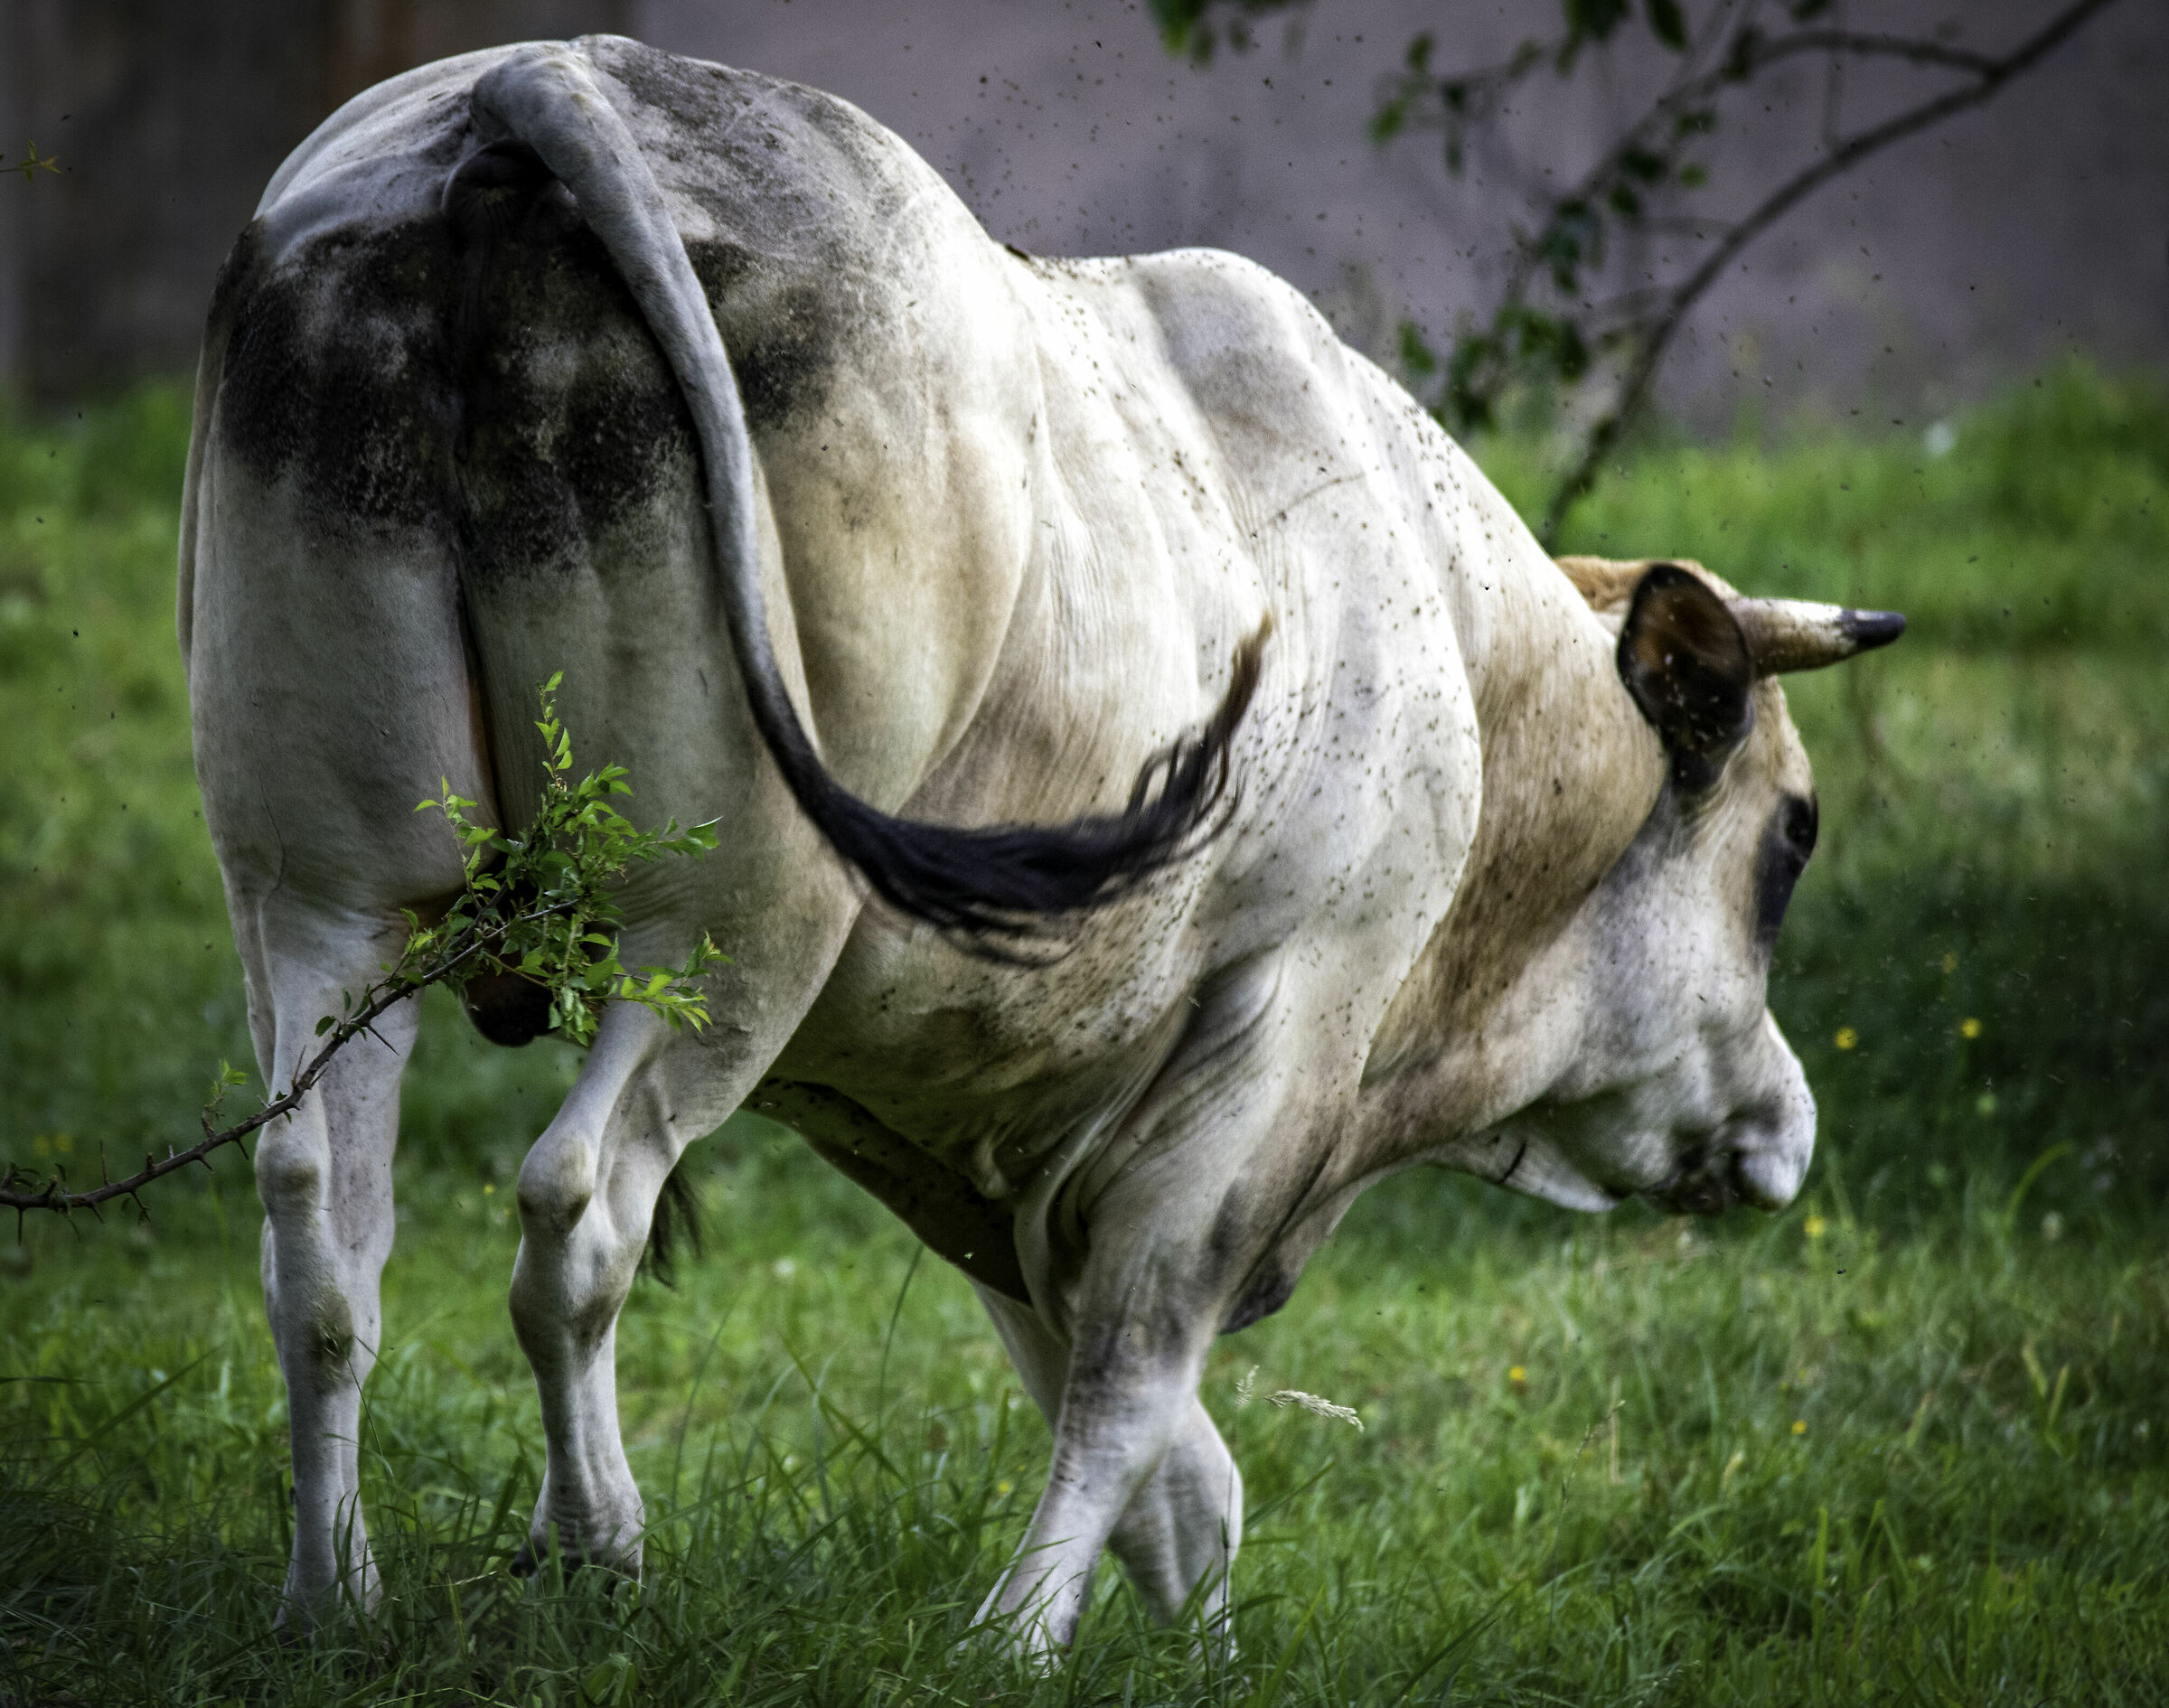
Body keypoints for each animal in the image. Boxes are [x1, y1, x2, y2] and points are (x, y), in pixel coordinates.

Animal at [179, 36, 1901, 1649]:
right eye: (1791, 836)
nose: (1783, 1121)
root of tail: (553, 73)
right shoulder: (1283, 1021)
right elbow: (1137, 1374)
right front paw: (1014, 1638)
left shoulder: (990, 1127)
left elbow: (1161, 1452)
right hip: (724, 930)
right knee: (580, 1210)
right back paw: (596, 1549)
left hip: (318, 899)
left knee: (319, 1233)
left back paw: (333, 1594)